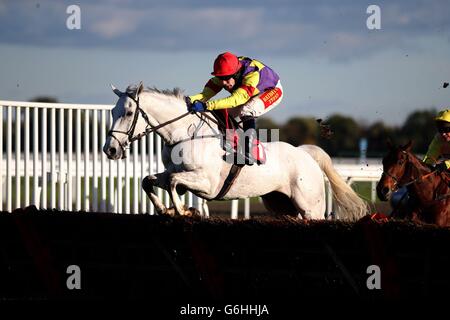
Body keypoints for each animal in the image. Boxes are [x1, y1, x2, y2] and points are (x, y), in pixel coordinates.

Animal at [103, 82, 368, 220]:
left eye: (129, 112)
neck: (185, 134)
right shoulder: (174, 172)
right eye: (113, 112)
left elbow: (173, 182)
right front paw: (164, 208)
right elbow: (150, 180)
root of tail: (305, 154)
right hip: (283, 207)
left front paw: (185, 211)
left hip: (311, 208)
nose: (110, 149)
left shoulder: (207, 184)